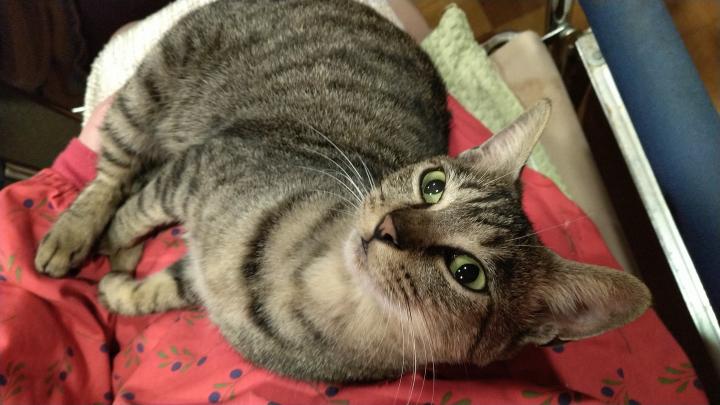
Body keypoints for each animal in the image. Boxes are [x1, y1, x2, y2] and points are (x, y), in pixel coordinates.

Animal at [34, 0, 650, 382]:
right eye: (432, 187)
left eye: (467, 273)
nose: (389, 227)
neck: (311, 280)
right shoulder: (202, 164)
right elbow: (133, 210)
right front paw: (111, 249)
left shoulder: (197, 263)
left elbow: (159, 287)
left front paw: (121, 288)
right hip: (151, 90)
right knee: (114, 172)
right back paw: (71, 235)